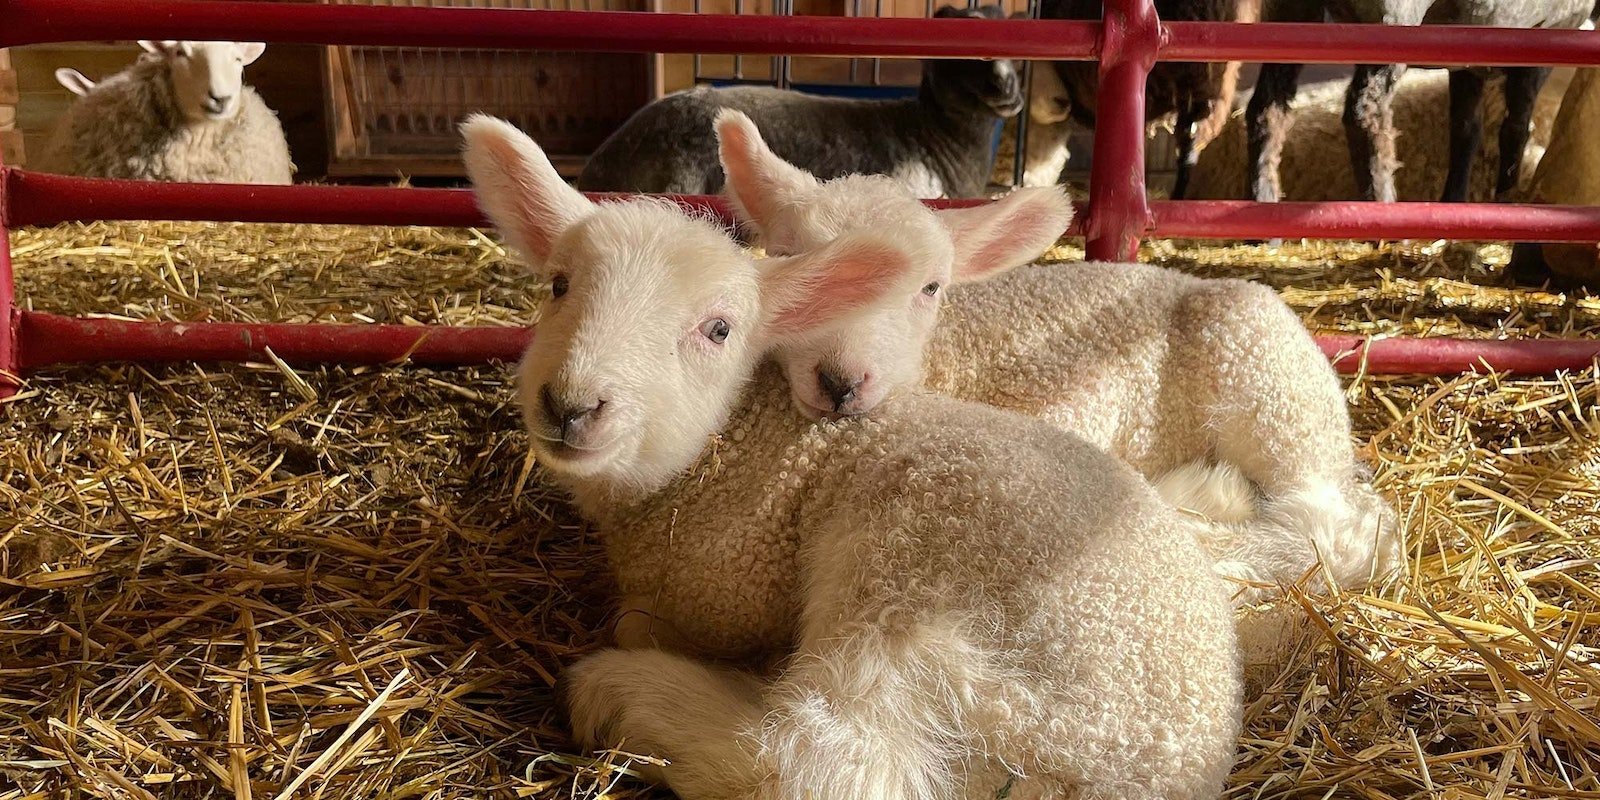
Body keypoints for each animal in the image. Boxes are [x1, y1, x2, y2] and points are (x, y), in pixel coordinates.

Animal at [464, 113, 1242, 800]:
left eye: (718, 329)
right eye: (559, 285)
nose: (571, 405)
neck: (723, 449)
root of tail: (1159, 770)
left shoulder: (732, 595)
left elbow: (645, 622)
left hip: (913, 604)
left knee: (823, 765)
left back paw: (623, 693)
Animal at [718, 111, 1402, 604]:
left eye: (931, 287)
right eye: (790, 261)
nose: (839, 381)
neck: (949, 359)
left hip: (1268, 385)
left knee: (1334, 527)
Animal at [1245, 0, 1594, 204]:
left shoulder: (1468, 56)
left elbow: (1466, 130)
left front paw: (1453, 202)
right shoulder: (1548, 33)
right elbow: (1516, 129)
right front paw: (1505, 200)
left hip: (1291, 13)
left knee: (1266, 108)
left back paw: (1263, 208)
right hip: (1392, 17)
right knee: (1365, 110)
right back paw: (1381, 205)